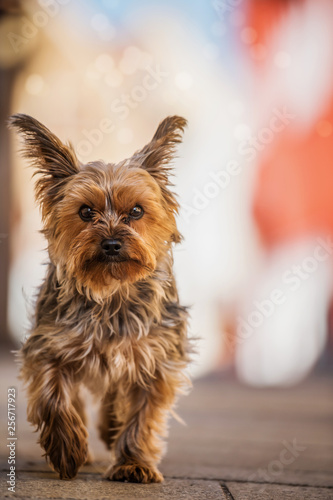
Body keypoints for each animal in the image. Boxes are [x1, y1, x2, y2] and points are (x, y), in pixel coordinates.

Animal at [8, 112, 189, 480]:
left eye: (137, 211)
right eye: (85, 212)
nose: (111, 244)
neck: (112, 291)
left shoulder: (156, 357)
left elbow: (144, 413)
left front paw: (134, 462)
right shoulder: (50, 344)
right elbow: (53, 395)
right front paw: (67, 449)